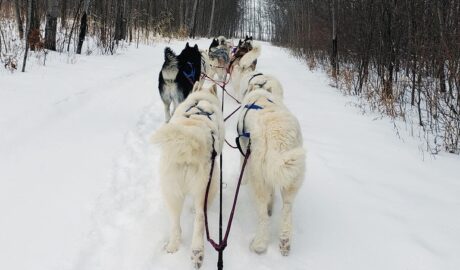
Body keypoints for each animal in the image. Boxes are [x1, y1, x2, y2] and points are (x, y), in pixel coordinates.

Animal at [152, 83, 224, 268]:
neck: (202, 100)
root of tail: (189, 145)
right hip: (208, 185)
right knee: (199, 217)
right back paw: (197, 252)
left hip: (171, 191)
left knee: (175, 222)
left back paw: (173, 245)